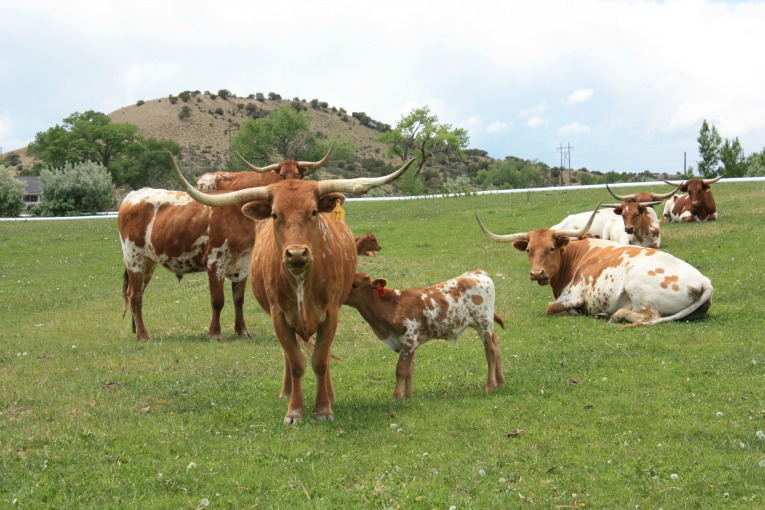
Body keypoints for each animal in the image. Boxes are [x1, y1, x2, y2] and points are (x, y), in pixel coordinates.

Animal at [171, 154, 414, 422]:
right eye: (275, 214)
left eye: (314, 211)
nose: (296, 253)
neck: (301, 280)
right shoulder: (279, 317)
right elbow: (296, 362)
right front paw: (295, 410)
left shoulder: (331, 315)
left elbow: (320, 360)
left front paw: (324, 407)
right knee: (289, 357)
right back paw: (286, 391)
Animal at [344, 268, 502, 400]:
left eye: (355, 285)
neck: (393, 307)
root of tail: (477, 273)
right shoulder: (409, 344)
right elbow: (409, 370)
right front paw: (407, 396)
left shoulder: (409, 341)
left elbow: (401, 370)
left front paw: (396, 397)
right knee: (497, 343)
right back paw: (500, 381)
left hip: (484, 323)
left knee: (491, 350)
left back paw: (490, 386)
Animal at [474, 207, 712, 326]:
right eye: (529, 250)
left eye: (551, 248)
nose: (536, 273)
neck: (574, 257)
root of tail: (704, 281)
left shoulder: (572, 295)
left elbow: (552, 308)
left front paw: (576, 312)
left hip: (635, 282)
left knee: (650, 316)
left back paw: (617, 315)